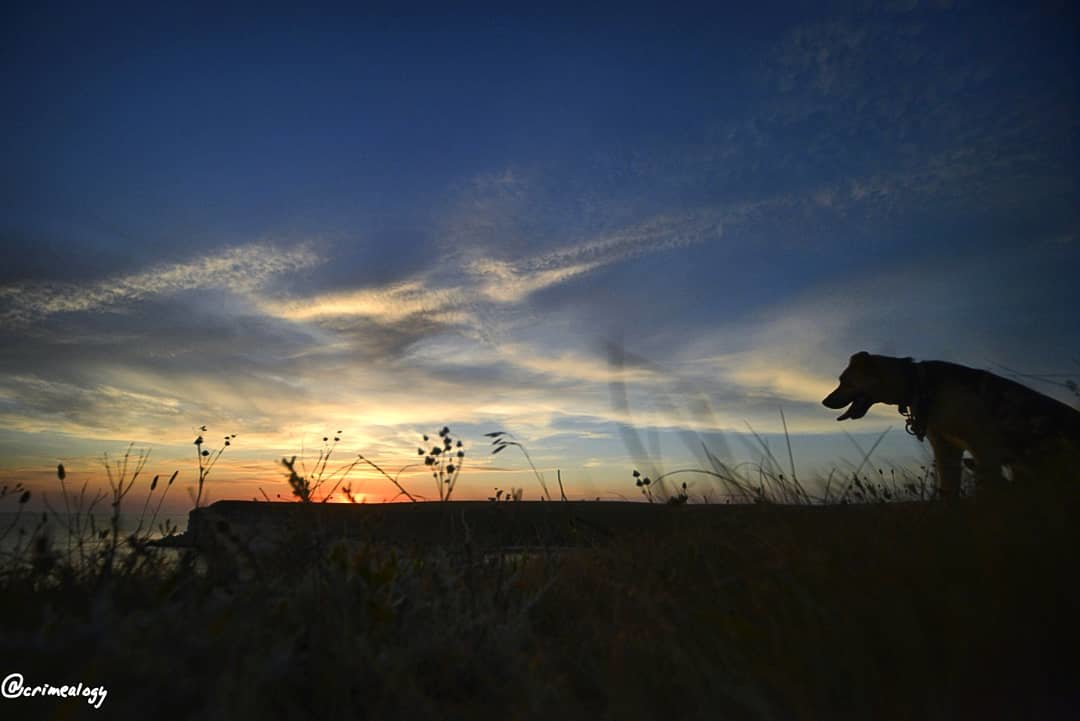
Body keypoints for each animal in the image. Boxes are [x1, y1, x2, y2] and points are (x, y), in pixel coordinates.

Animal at [825, 351, 1080, 498]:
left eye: (844, 381)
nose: (825, 401)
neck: (918, 383)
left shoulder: (983, 449)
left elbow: (988, 490)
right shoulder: (946, 450)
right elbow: (948, 491)